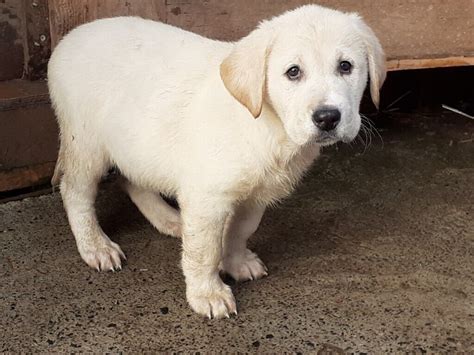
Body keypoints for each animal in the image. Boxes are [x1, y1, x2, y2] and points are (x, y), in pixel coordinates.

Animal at [49, 4, 386, 318]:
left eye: (346, 66)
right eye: (293, 72)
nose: (328, 118)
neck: (266, 125)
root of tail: (67, 40)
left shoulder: (255, 196)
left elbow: (240, 231)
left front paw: (237, 262)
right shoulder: (206, 199)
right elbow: (204, 250)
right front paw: (207, 294)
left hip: (132, 143)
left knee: (132, 180)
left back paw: (169, 219)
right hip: (86, 142)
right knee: (75, 192)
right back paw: (96, 246)